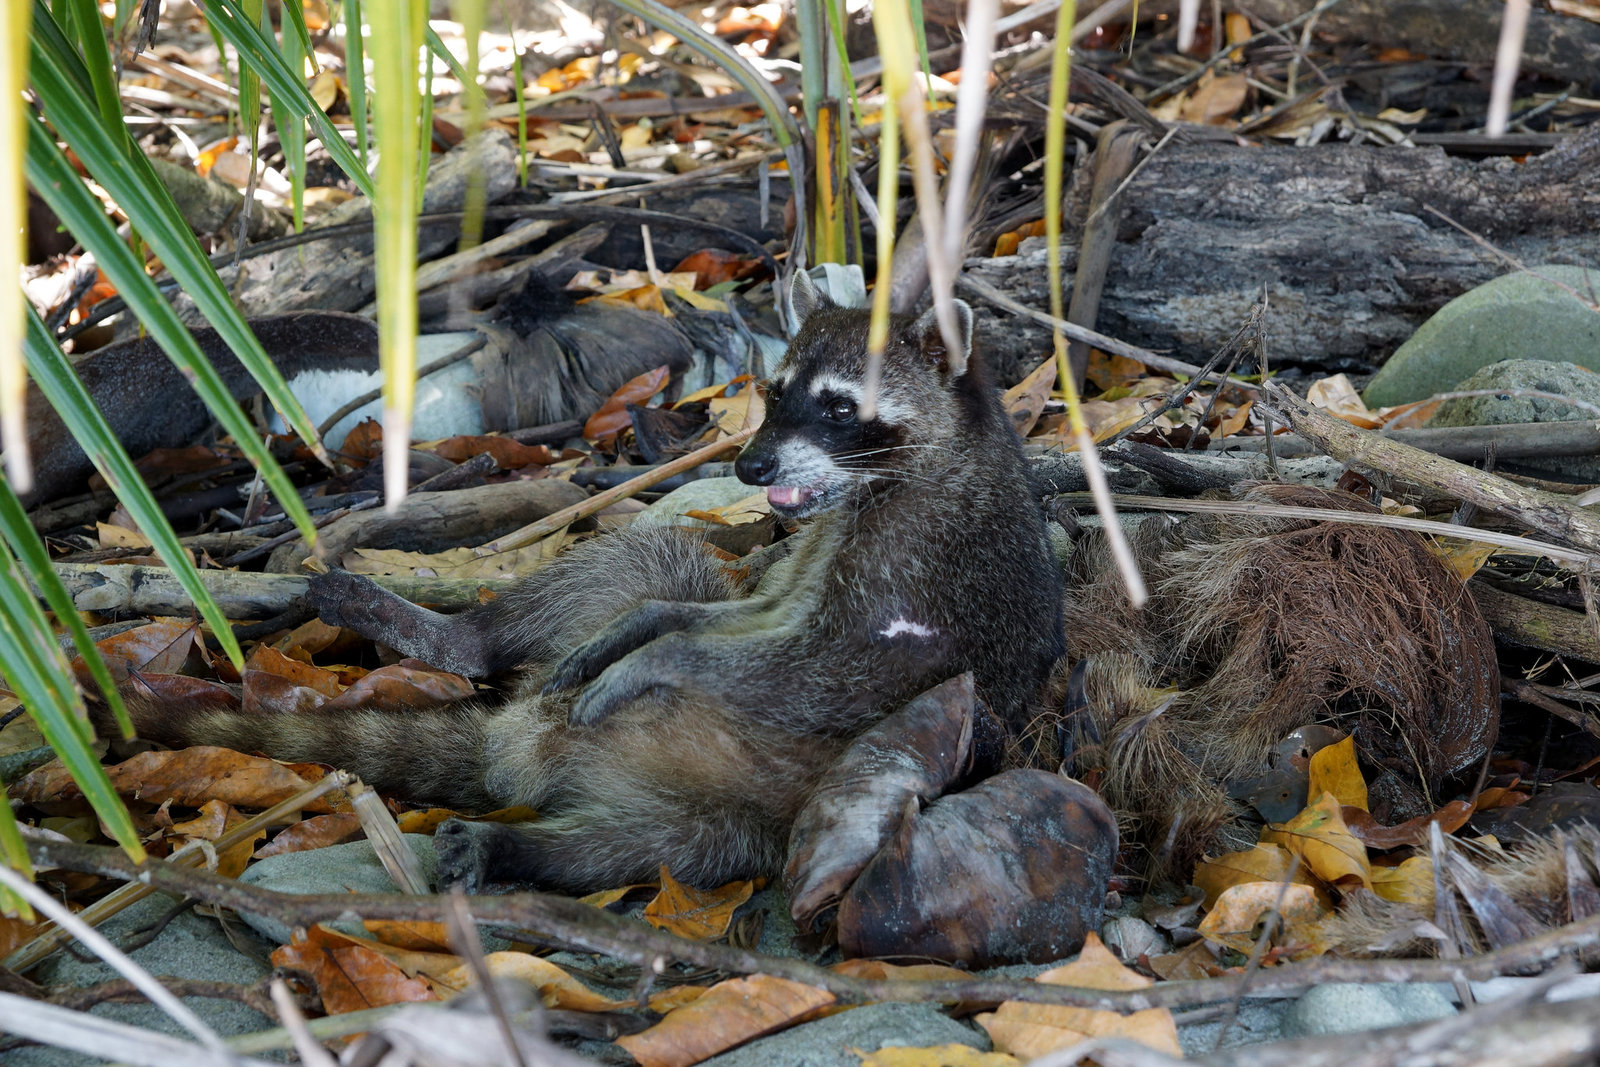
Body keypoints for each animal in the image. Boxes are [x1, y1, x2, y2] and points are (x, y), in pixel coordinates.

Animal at [121, 275, 1062, 895]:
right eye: (774, 390)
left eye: (838, 407)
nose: (751, 466)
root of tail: (516, 750)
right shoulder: (814, 545)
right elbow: (725, 606)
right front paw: (645, 630)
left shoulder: (922, 570)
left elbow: (825, 673)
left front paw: (663, 655)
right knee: (645, 559)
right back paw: (466, 638)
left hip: (751, 809)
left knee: (664, 846)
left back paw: (524, 850)